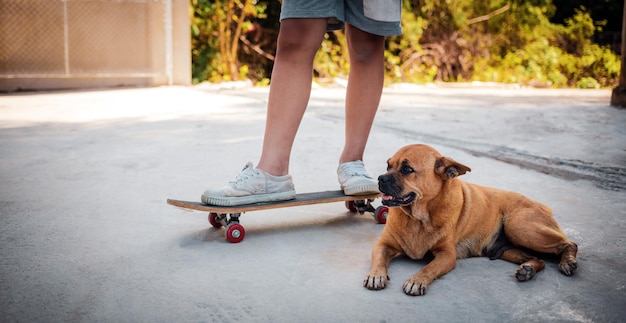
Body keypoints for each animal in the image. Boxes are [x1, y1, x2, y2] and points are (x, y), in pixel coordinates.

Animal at [364, 144, 576, 296]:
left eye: (407, 169)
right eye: (388, 166)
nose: (381, 178)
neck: (419, 218)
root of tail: (541, 205)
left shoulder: (446, 255)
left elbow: (429, 268)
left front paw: (417, 280)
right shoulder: (383, 245)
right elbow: (379, 261)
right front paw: (376, 275)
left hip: (519, 227)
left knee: (569, 244)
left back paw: (567, 262)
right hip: (510, 249)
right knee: (539, 259)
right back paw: (528, 270)